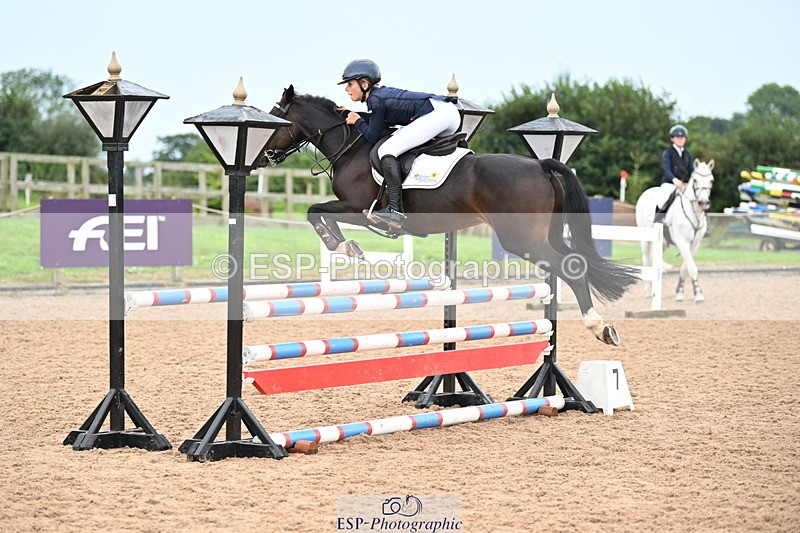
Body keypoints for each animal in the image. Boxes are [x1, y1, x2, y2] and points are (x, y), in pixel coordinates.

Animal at [263, 85, 639, 345]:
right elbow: (318, 213)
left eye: (277, 122)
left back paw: (599, 327)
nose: (264, 156)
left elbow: (315, 211)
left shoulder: (359, 209)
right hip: (545, 235)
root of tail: (541, 165)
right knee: (574, 262)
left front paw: (341, 244)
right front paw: (347, 245)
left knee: (571, 269)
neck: (350, 145)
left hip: (521, 240)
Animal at [634, 159, 715, 303]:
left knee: (654, 260)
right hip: (646, 239)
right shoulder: (682, 242)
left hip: (663, 243)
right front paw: (698, 294)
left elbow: (685, 268)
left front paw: (680, 292)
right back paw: (648, 291)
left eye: (711, 180)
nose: (704, 202)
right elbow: (692, 268)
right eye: (695, 180)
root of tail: (646, 192)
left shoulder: (695, 244)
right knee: (646, 260)